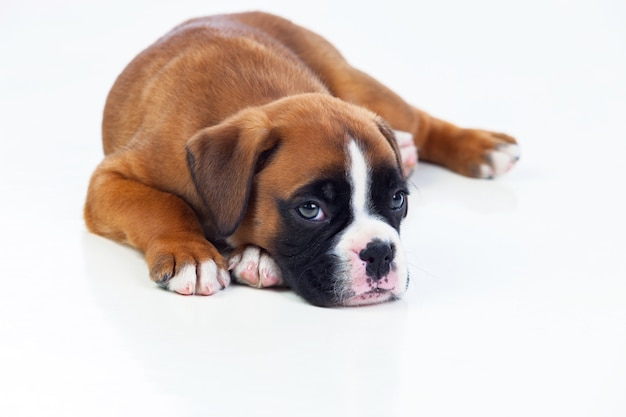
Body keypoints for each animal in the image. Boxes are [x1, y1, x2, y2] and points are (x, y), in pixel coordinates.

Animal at [85, 11, 520, 308]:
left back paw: (482, 147)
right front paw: (192, 253)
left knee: (422, 121)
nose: (380, 252)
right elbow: (161, 204)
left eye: (398, 200)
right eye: (310, 210)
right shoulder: (109, 180)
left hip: (359, 86)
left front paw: (256, 255)